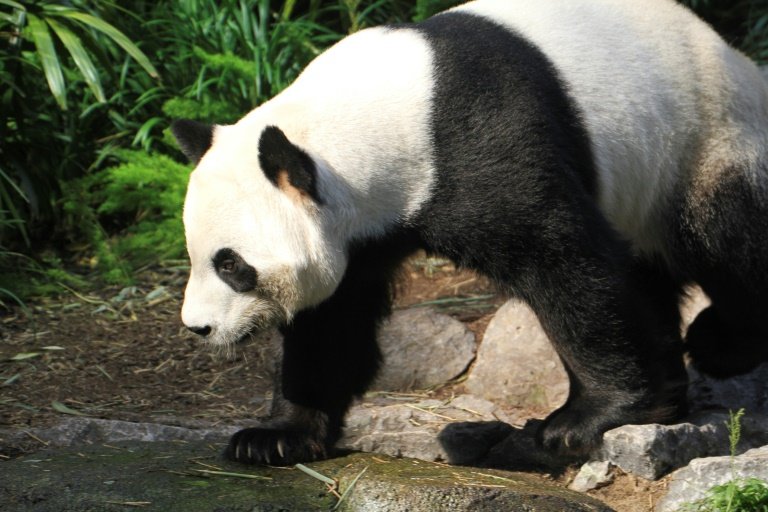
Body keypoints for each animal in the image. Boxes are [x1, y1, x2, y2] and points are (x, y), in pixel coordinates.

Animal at [172, 0, 768, 466]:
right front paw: (273, 437)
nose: (199, 328)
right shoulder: (362, 234)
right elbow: (332, 322)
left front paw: (584, 419)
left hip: (705, 138)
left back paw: (719, 344)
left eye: (232, 264)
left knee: (726, 241)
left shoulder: (480, 146)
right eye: (197, 256)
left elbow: (565, 263)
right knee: (650, 272)